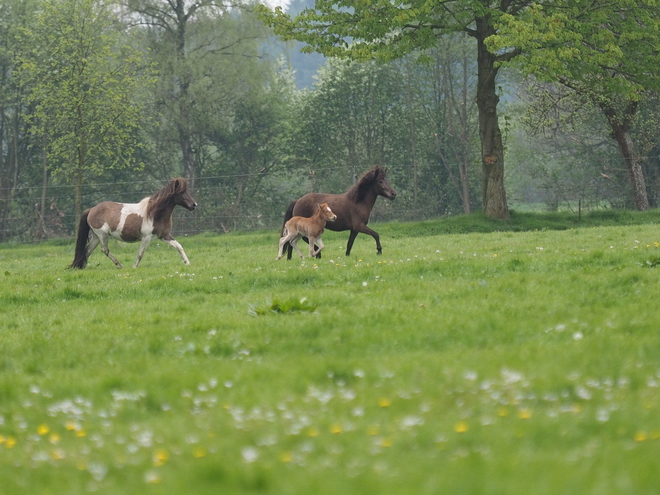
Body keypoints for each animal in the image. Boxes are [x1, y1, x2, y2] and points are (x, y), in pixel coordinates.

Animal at [71, 178, 199, 270]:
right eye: (182, 192)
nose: (194, 205)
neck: (154, 214)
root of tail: (91, 210)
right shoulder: (146, 237)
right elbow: (140, 254)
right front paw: (134, 267)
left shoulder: (164, 235)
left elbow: (179, 246)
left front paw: (187, 263)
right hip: (102, 235)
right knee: (104, 250)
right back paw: (118, 265)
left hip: (96, 237)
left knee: (87, 250)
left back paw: (82, 267)